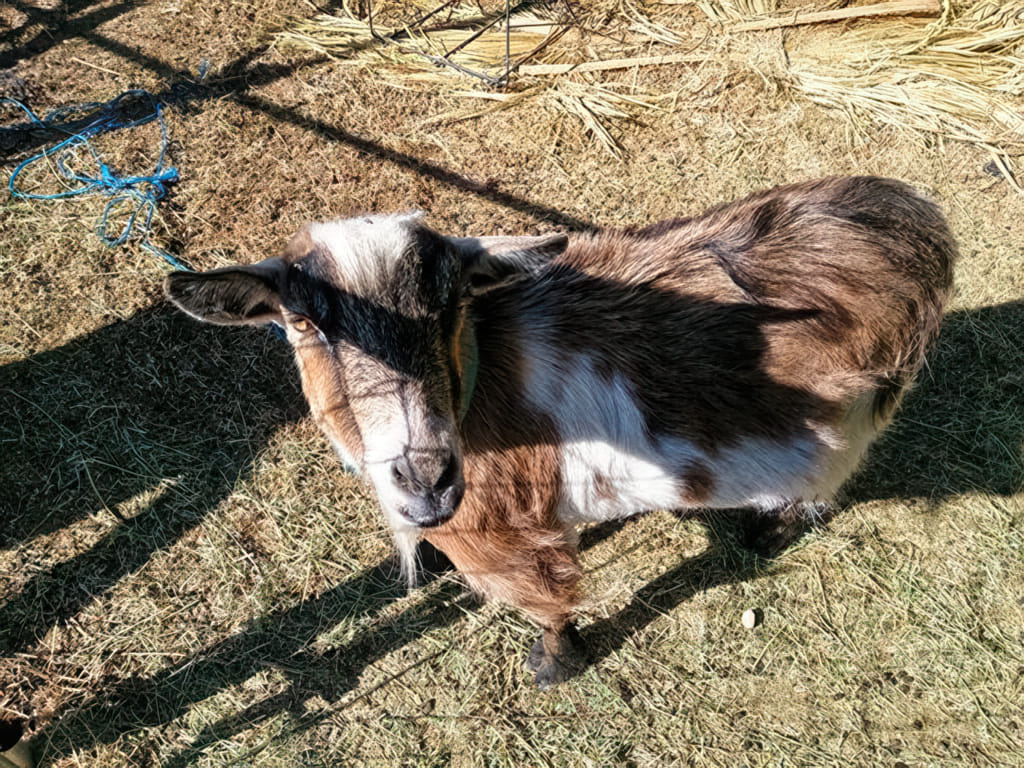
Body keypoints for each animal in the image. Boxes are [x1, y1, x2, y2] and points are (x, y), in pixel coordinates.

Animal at [165, 176, 956, 688]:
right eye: (302, 321)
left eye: (452, 307)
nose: (426, 481)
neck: (477, 387)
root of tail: (916, 221)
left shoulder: (512, 537)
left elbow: (548, 601)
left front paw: (553, 666)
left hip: (855, 411)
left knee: (832, 471)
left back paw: (773, 525)